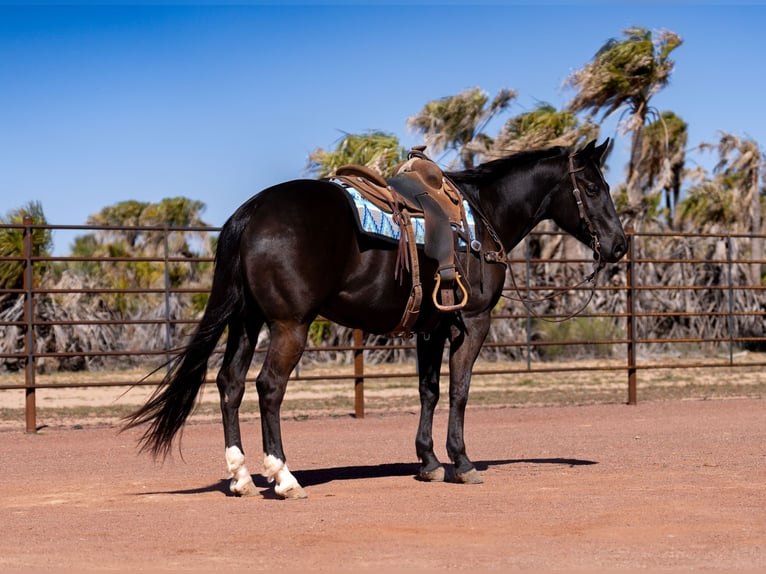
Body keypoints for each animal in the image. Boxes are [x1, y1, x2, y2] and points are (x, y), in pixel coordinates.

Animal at [123, 138, 627, 499]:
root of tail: (251, 212)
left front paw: (428, 463)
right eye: (594, 188)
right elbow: (460, 391)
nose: (619, 245)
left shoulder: (432, 328)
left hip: (246, 321)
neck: (482, 218)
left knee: (229, 384)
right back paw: (284, 478)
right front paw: (462, 463)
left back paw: (241, 478)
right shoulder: (473, 321)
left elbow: (429, 390)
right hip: (289, 325)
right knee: (269, 387)